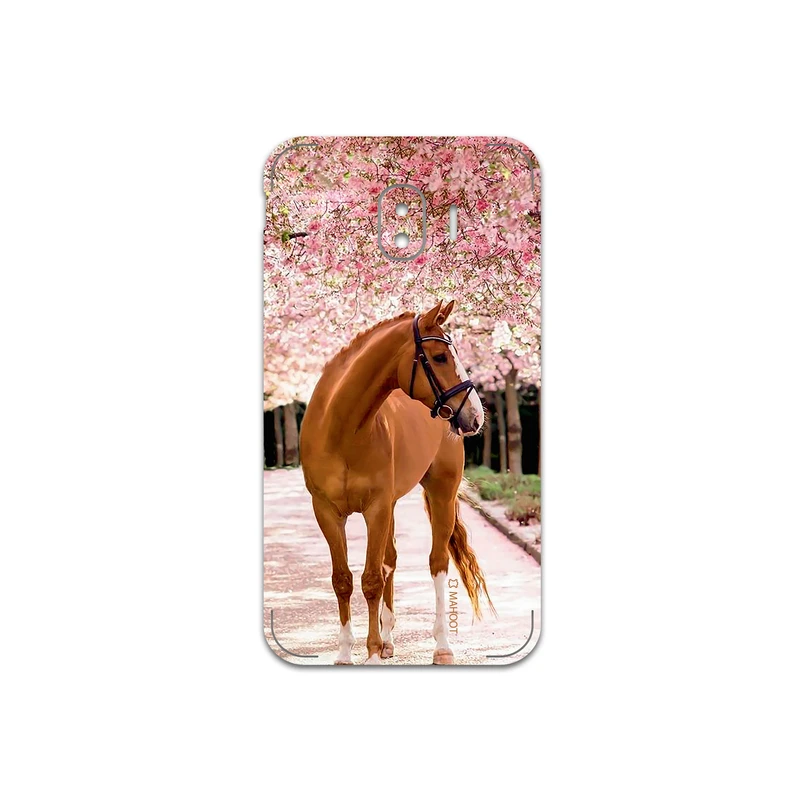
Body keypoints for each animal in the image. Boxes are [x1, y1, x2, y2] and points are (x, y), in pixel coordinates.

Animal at [299, 300, 493, 665]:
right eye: (440, 357)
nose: (475, 415)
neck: (341, 431)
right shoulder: (327, 512)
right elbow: (343, 580)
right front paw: (346, 653)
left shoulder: (375, 508)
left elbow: (371, 579)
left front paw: (372, 653)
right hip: (390, 505)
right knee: (390, 560)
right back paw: (388, 640)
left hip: (441, 494)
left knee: (437, 563)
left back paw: (441, 647)